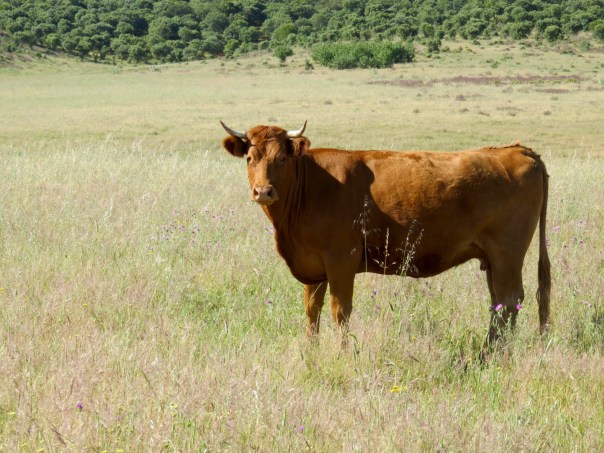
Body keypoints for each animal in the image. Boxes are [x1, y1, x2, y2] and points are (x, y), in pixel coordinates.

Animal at [220, 121, 551, 351]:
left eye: (283, 159)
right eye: (250, 158)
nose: (263, 191)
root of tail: (517, 150)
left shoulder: (341, 260)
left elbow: (340, 311)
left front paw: (342, 353)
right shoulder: (313, 267)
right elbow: (312, 312)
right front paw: (310, 352)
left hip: (507, 254)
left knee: (509, 301)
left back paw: (494, 353)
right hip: (492, 259)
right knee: (498, 304)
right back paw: (489, 349)